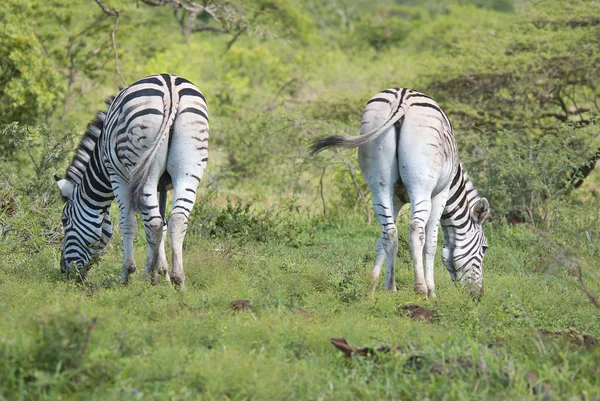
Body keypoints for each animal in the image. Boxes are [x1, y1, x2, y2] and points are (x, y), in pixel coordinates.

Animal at [55, 74, 209, 288]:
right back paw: (178, 280)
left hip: (143, 167)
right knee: (176, 219)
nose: (64, 270)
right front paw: (163, 273)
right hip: (188, 169)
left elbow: (128, 222)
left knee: (153, 222)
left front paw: (129, 274)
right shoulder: (162, 186)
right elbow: (161, 225)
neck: (100, 163)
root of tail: (170, 87)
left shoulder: (117, 176)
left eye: (64, 220)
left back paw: (149, 276)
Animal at [312, 87, 490, 296]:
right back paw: (420, 288)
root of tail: (402, 97)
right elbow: (431, 242)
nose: (478, 295)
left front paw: (375, 286)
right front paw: (432, 290)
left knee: (389, 231)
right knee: (416, 229)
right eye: (484, 248)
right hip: (420, 184)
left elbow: (382, 241)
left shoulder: (395, 199)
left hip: (379, 182)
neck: (454, 183)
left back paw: (388, 287)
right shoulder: (441, 194)